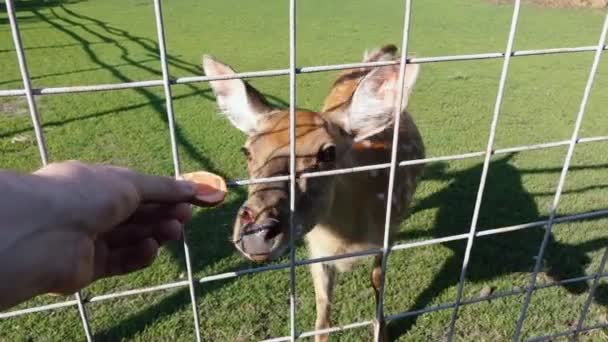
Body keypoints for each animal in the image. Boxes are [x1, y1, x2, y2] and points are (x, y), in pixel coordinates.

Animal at [202, 44, 426, 340]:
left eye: (328, 152)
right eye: (247, 150)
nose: (256, 232)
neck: (347, 241)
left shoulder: (388, 230)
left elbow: (378, 280)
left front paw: (382, 332)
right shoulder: (316, 248)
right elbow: (322, 317)